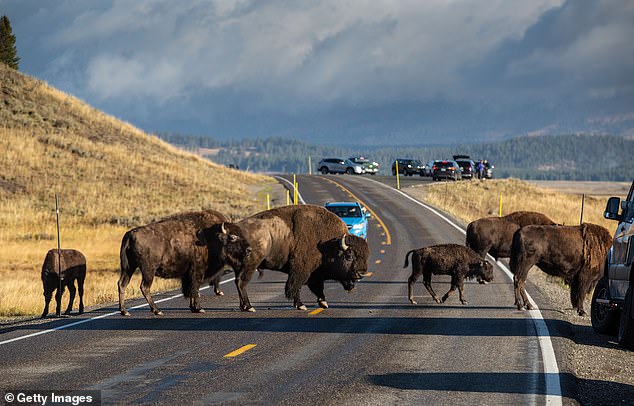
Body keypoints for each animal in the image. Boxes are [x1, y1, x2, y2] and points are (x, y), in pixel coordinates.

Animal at [195, 205, 368, 312]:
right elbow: (296, 286)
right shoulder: (301, 270)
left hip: (240, 267)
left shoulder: (313, 273)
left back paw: (243, 306)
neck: (327, 243)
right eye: (349, 256)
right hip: (250, 265)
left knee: (238, 283)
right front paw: (301, 305)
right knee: (241, 283)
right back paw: (249, 307)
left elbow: (316, 287)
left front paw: (323, 302)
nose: (361, 274)